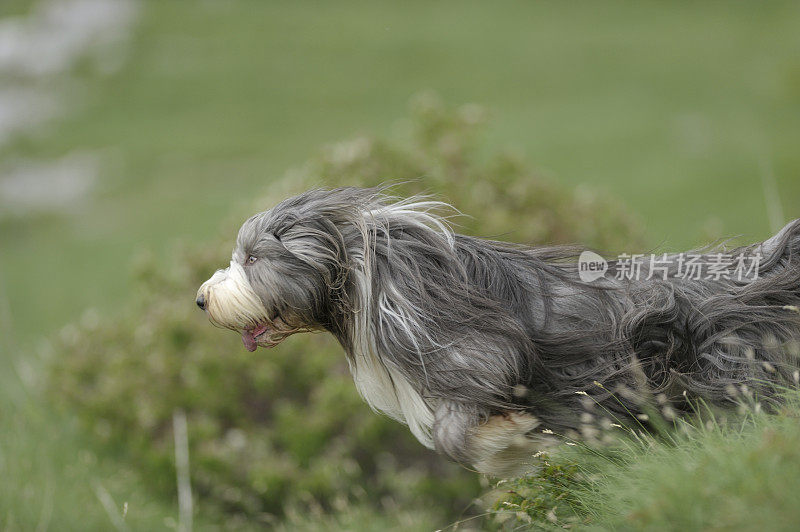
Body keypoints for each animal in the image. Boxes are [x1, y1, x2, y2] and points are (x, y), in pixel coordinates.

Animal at [195, 186, 800, 474]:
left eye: (253, 258)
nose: (201, 300)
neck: (375, 278)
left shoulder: (474, 355)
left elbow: (454, 429)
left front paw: (506, 444)